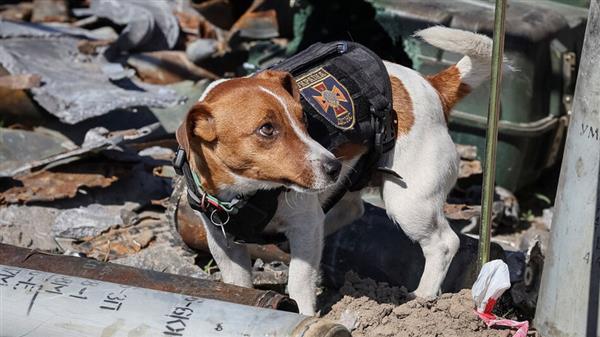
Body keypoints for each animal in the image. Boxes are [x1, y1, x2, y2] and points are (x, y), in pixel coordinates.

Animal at [176, 26, 494, 316]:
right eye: (267, 129)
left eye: (303, 119)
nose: (333, 166)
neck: (244, 192)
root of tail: (432, 87)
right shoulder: (223, 243)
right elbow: (238, 283)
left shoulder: (304, 224)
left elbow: (299, 282)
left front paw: (303, 315)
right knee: (350, 211)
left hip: (409, 202)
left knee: (444, 243)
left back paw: (423, 298)